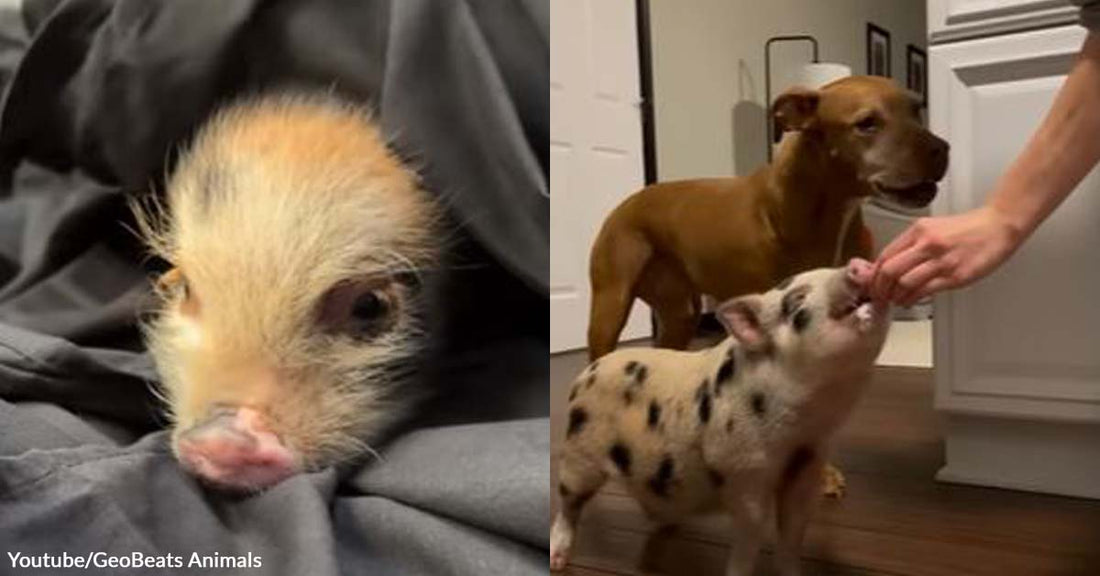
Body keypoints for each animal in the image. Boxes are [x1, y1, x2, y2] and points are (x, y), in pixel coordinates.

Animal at [550, 259, 890, 576]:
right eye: (796, 302)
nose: (860, 265)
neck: (806, 423)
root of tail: (584, 375)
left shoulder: (808, 464)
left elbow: (793, 533)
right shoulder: (745, 470)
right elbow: (750, 534)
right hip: (579, 455)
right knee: (568, 504)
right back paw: (558, 560)